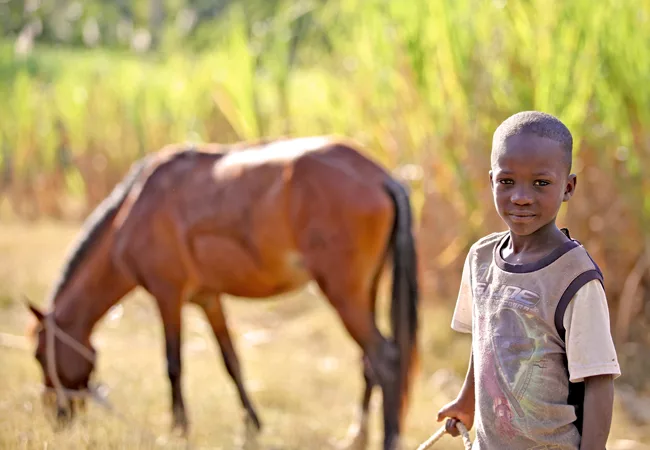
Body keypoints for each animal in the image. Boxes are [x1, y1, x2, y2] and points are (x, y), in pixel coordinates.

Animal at [25, 135, 420, 450]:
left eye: (40, 356)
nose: (57, 416)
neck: (135, 207)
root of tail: (382, 176)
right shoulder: (208, 299)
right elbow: (232, 362)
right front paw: (252, 425)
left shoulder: (167, 296)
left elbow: (173, 365)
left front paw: (179, 430)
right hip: (365, 291)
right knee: (368, 363)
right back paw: (356, 437)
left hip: (343, 294)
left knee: (385, 358)